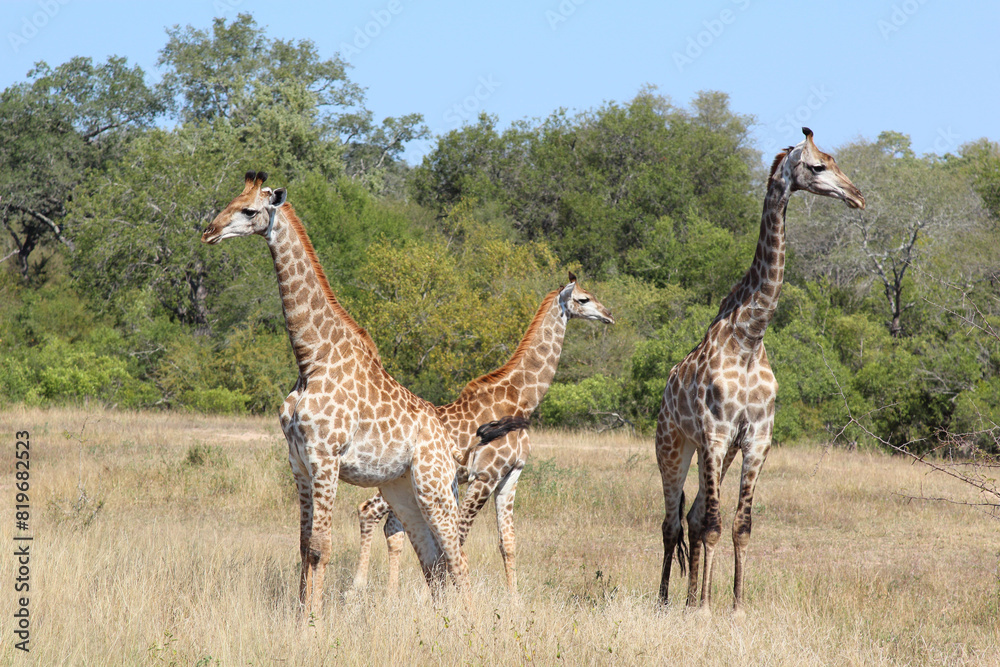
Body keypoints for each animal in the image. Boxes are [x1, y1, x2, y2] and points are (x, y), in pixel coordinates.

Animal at [200, 171, 526, 616]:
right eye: (230, 201)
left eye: (249, 210)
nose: (209, 231)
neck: (311, 359)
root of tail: (451, 444)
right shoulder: (298, 460)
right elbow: (302, 546)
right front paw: (299, 616)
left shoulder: (326, 457)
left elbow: (320, 547)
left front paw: (314, 622)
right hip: (402, 490)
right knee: (433, 561)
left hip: (434, 486)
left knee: (456, 558)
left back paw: (470, 623)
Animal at [351, 274, 615, 593]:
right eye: (583, 299)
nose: (609, 315)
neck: (521, 399)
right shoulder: (485, 475)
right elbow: (460, 540)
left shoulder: (511, 475)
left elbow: (508, 544)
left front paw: (514, 601)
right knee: (370, 511)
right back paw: (359, 587)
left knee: (390, 524)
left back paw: (387, 593)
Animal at [655, 128, 865, 615]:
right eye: (818, 167)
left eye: (835, 161)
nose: (857, 196)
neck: (750, 338)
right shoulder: (715, 434)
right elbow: (715, 525)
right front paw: (707, 609)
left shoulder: (755, 440)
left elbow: (739, 526)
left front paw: (733, 605)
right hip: (673, 447)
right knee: (672, 523)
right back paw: (666, 600)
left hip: (712, 451)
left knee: (692, 516)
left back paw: (689, 599)